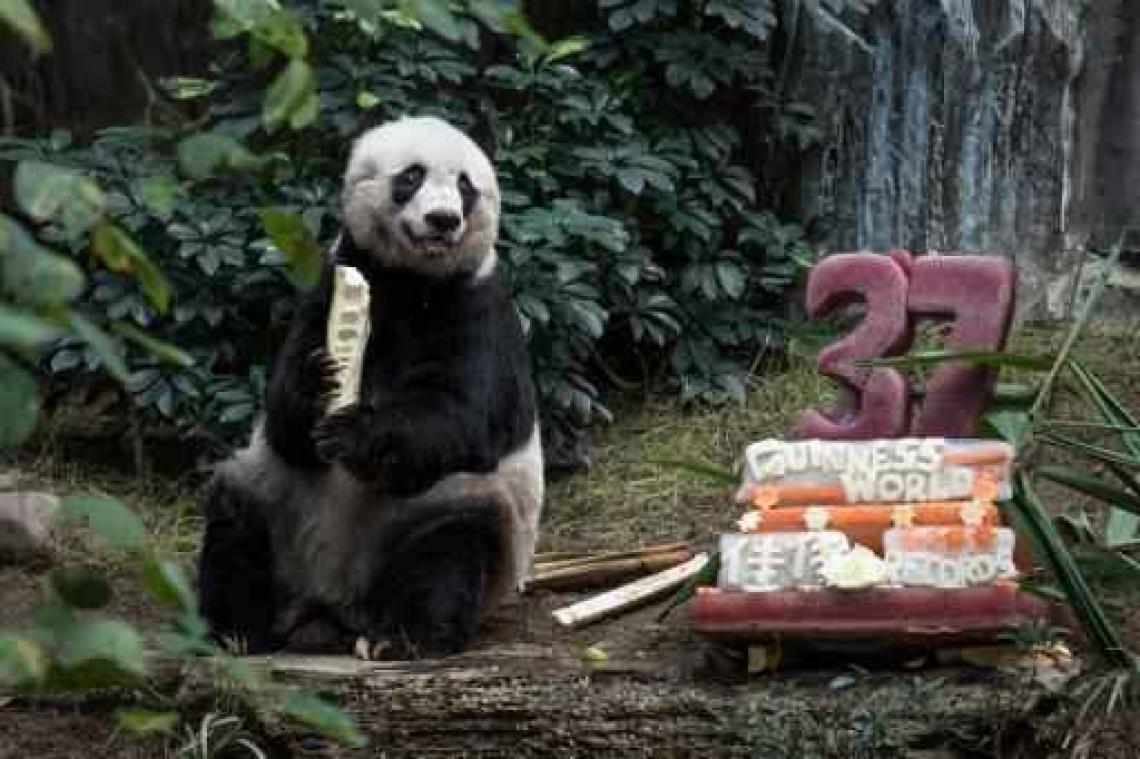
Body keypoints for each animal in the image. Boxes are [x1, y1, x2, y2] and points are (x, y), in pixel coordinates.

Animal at [197, 116, 543, 658]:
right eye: (412, 176)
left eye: (466, 186)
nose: (443, 220)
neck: (411, 281)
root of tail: (334, 603)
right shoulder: (329, 286)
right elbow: (284, 421)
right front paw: (322, 385)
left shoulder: (476, 306)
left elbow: (459, 414)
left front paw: (354, 432)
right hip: (275, 504)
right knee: (236, 521)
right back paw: (235, 628)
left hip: (450, 511)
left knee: (450, 546)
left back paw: (405, 636)